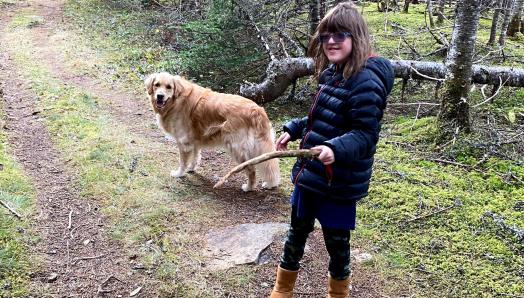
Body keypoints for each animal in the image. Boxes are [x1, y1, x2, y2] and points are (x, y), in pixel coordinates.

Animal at [145, 72, 280, 191]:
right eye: (157, 85)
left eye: (169, 87)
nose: (160, 96)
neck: (176, 100)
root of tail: (256, 110)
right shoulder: (194, 140)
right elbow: (195, 156)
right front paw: (191, 168)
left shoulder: (184, 143)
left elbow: (183, 162)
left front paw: (179, 174)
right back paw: (269, 184)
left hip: (236, 148)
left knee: (251, 169)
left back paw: (249, 187)